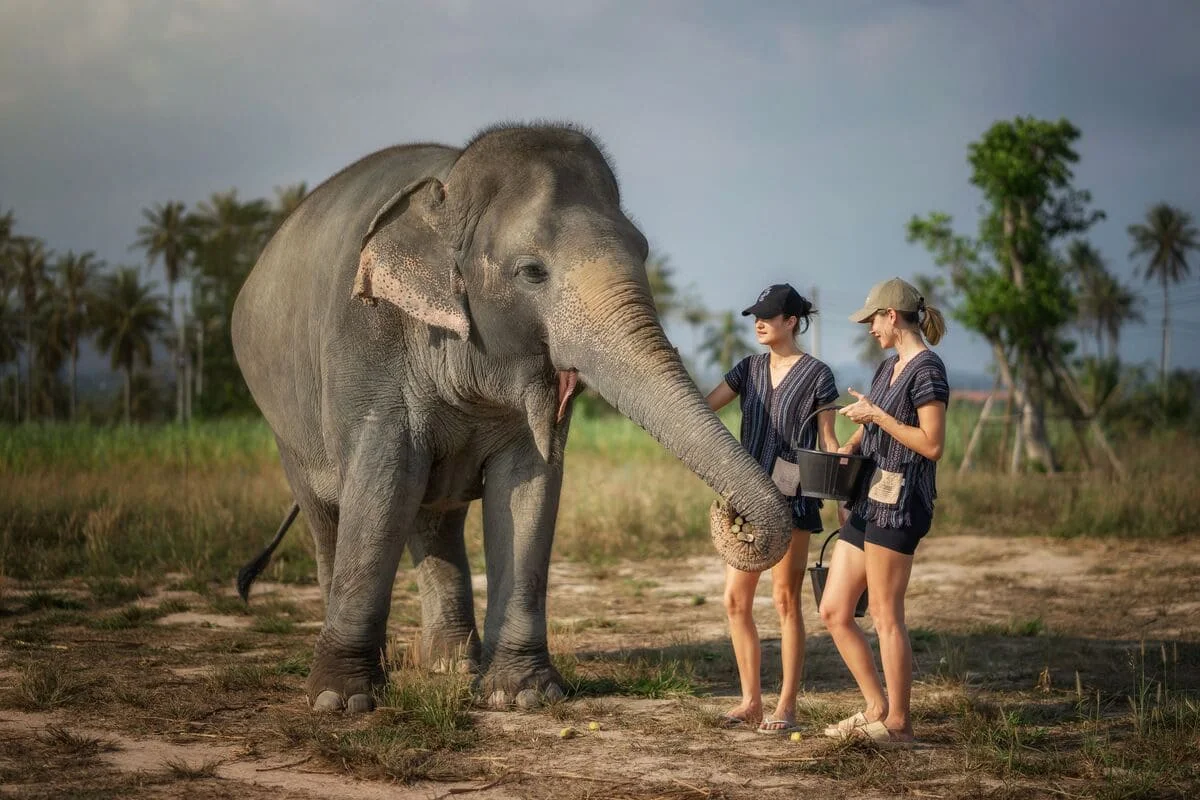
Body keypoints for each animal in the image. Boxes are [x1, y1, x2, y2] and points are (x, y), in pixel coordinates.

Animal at [230, 123, 792, 713]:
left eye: (642, 250)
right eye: (531, 272)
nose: (735, 514)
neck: (449, 190)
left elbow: (529, 486)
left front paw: (523, 696)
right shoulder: (366, 344)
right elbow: (382, 484)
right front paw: (342, 702)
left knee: (433, 515)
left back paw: (453, 666)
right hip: (285, 422)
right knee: (331, 517)